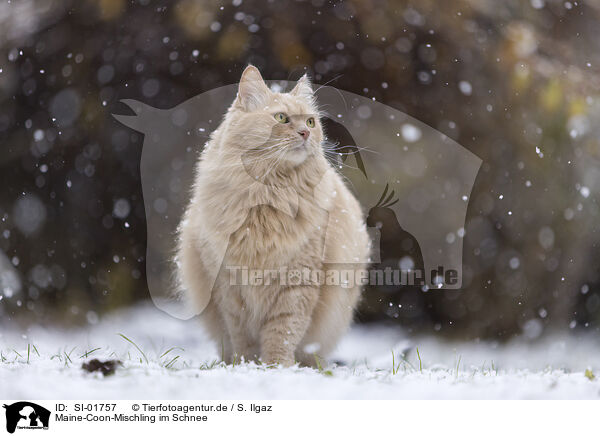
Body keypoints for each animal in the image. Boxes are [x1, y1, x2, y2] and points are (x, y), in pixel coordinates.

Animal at [176, 63, 368, 364]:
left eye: (310, 122)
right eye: (281, 118)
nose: (305, 134)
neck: (269, 198)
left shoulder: (299, 282)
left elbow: (283, 333)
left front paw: (277, 367)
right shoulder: (229, 286)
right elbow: (242, 338)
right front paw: (246, 366)